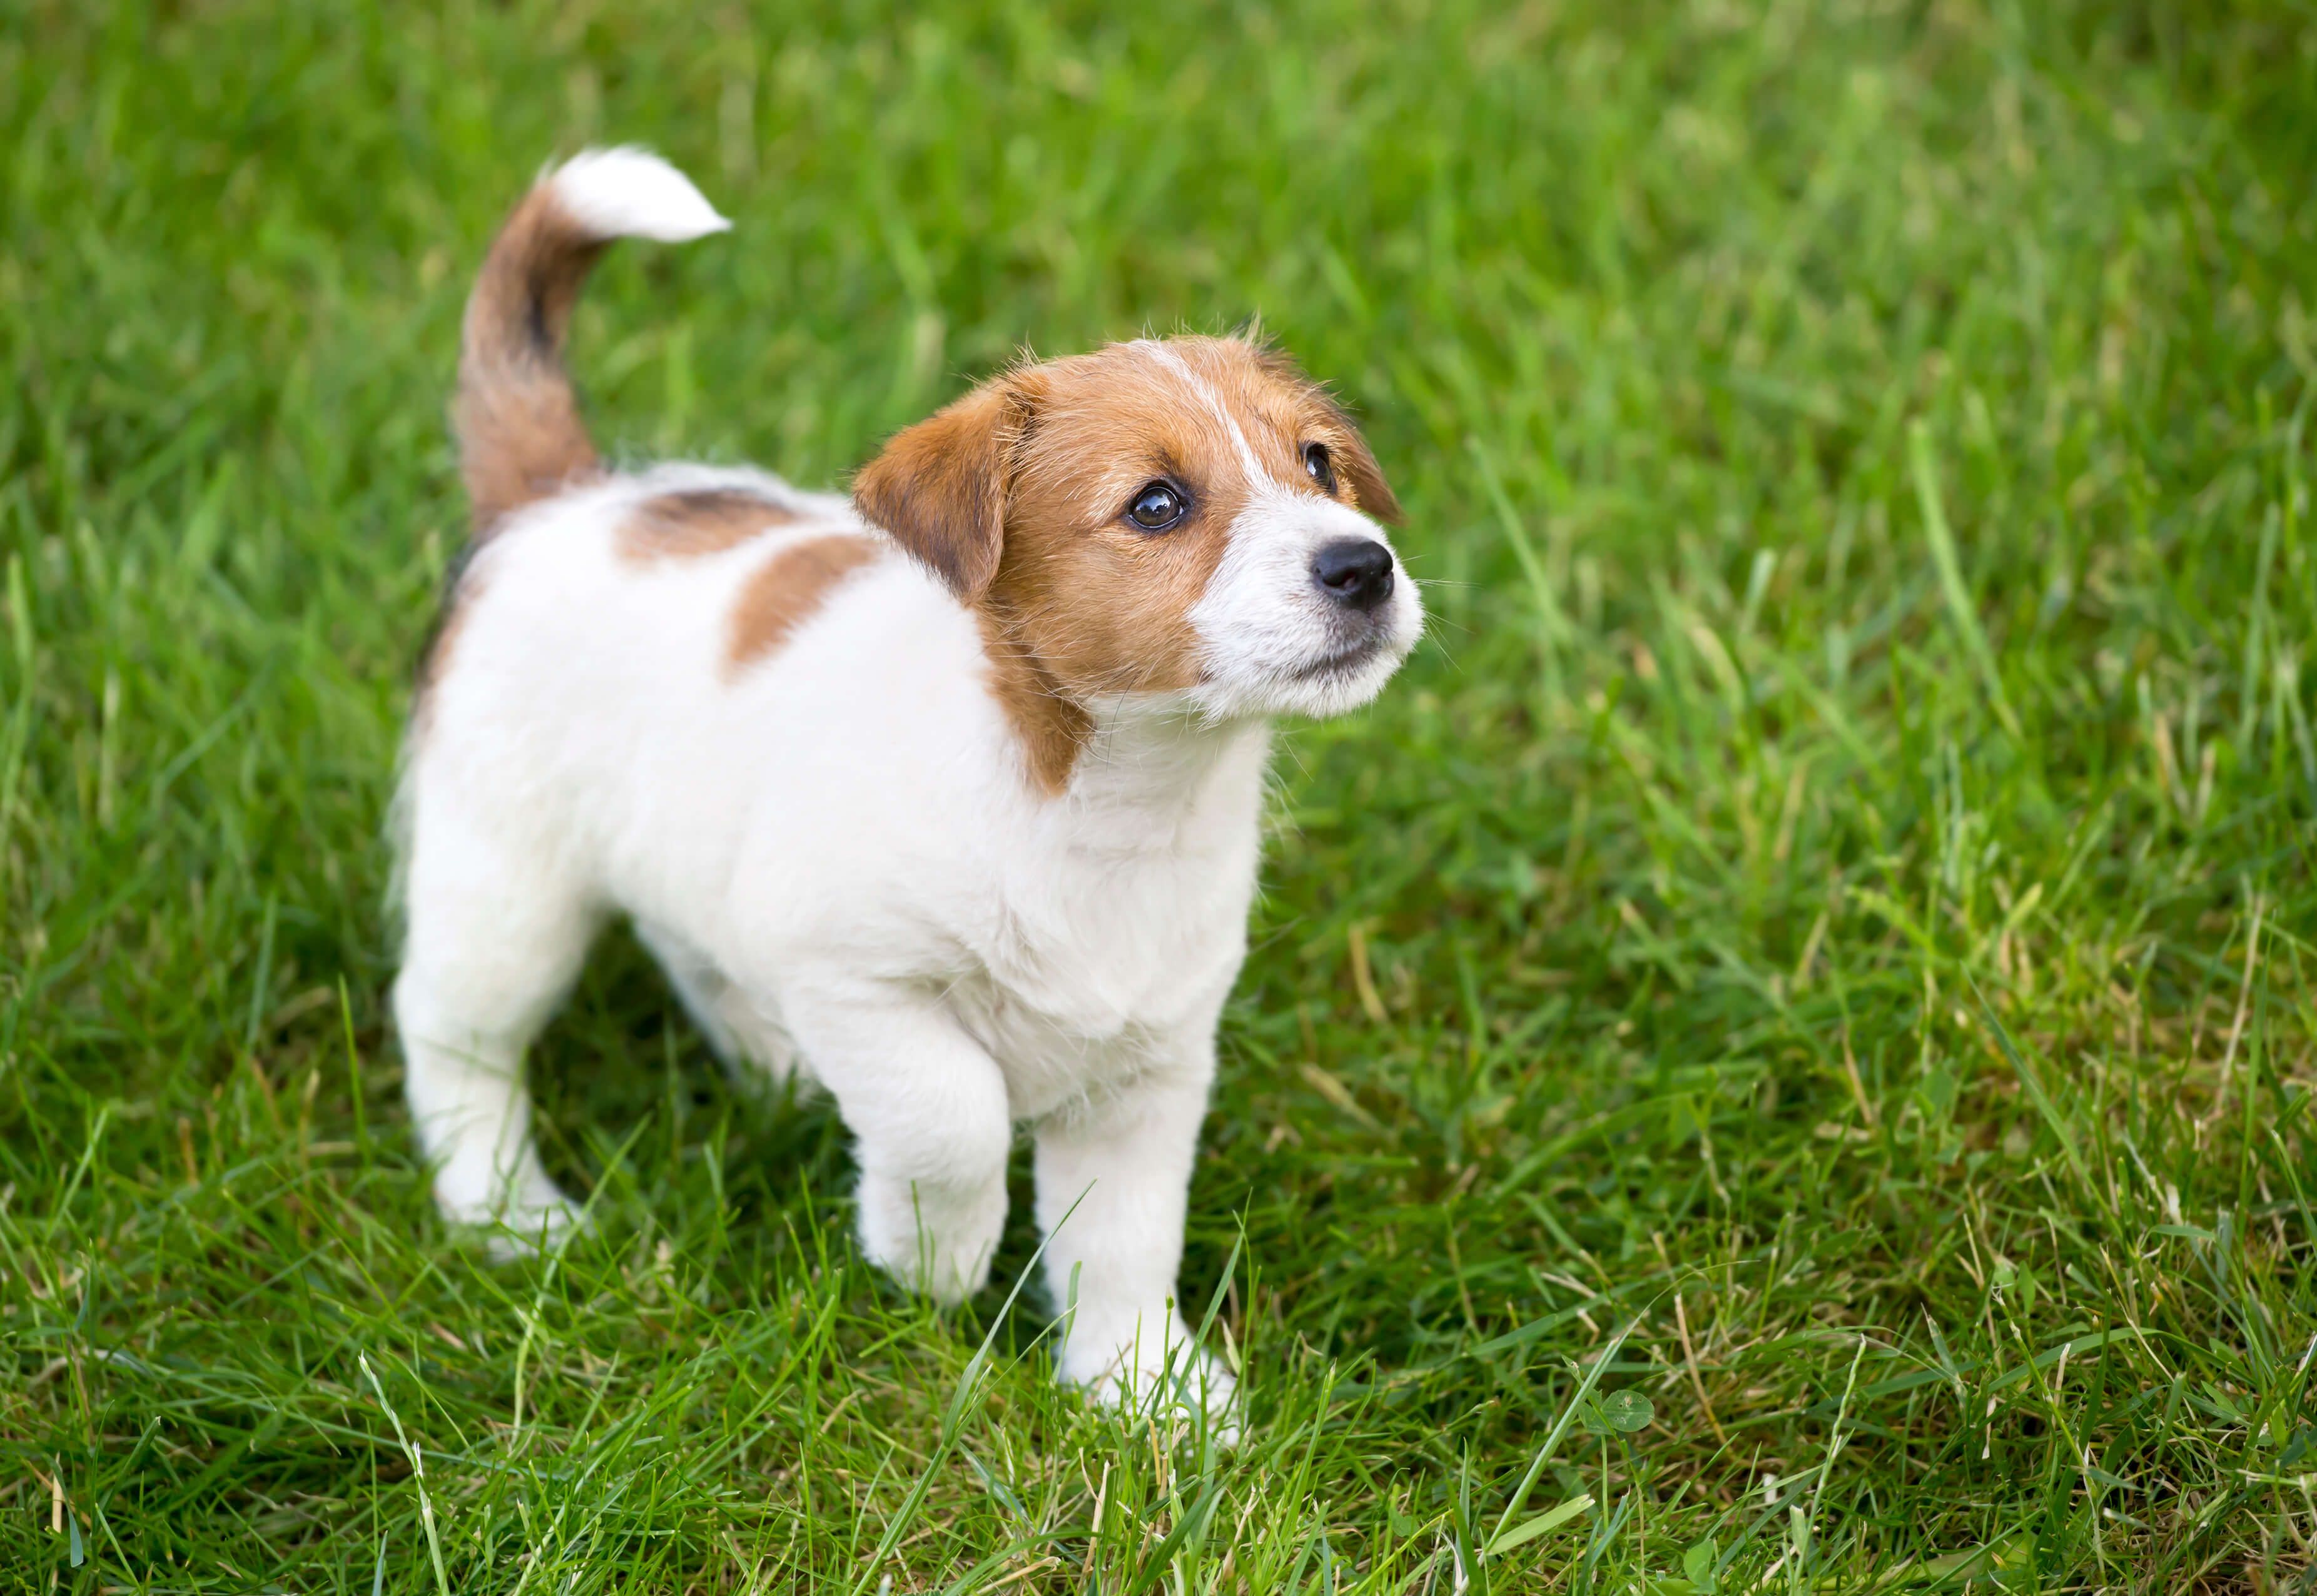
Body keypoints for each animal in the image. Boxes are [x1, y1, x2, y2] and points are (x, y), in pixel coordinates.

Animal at [389, 153, 1417, 1417]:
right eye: (1158, 504)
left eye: (1317, 463)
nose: (1363, 567)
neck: (1101, 800)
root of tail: (563, 499)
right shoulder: (856, 978)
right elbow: (951, 1115)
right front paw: (933, 1254)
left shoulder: (1149, 1069)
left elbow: (1126, 1239)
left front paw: (1142, 1389)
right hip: (506, 892)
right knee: (454, 1034)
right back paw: (504, 1208)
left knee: (689, 948)